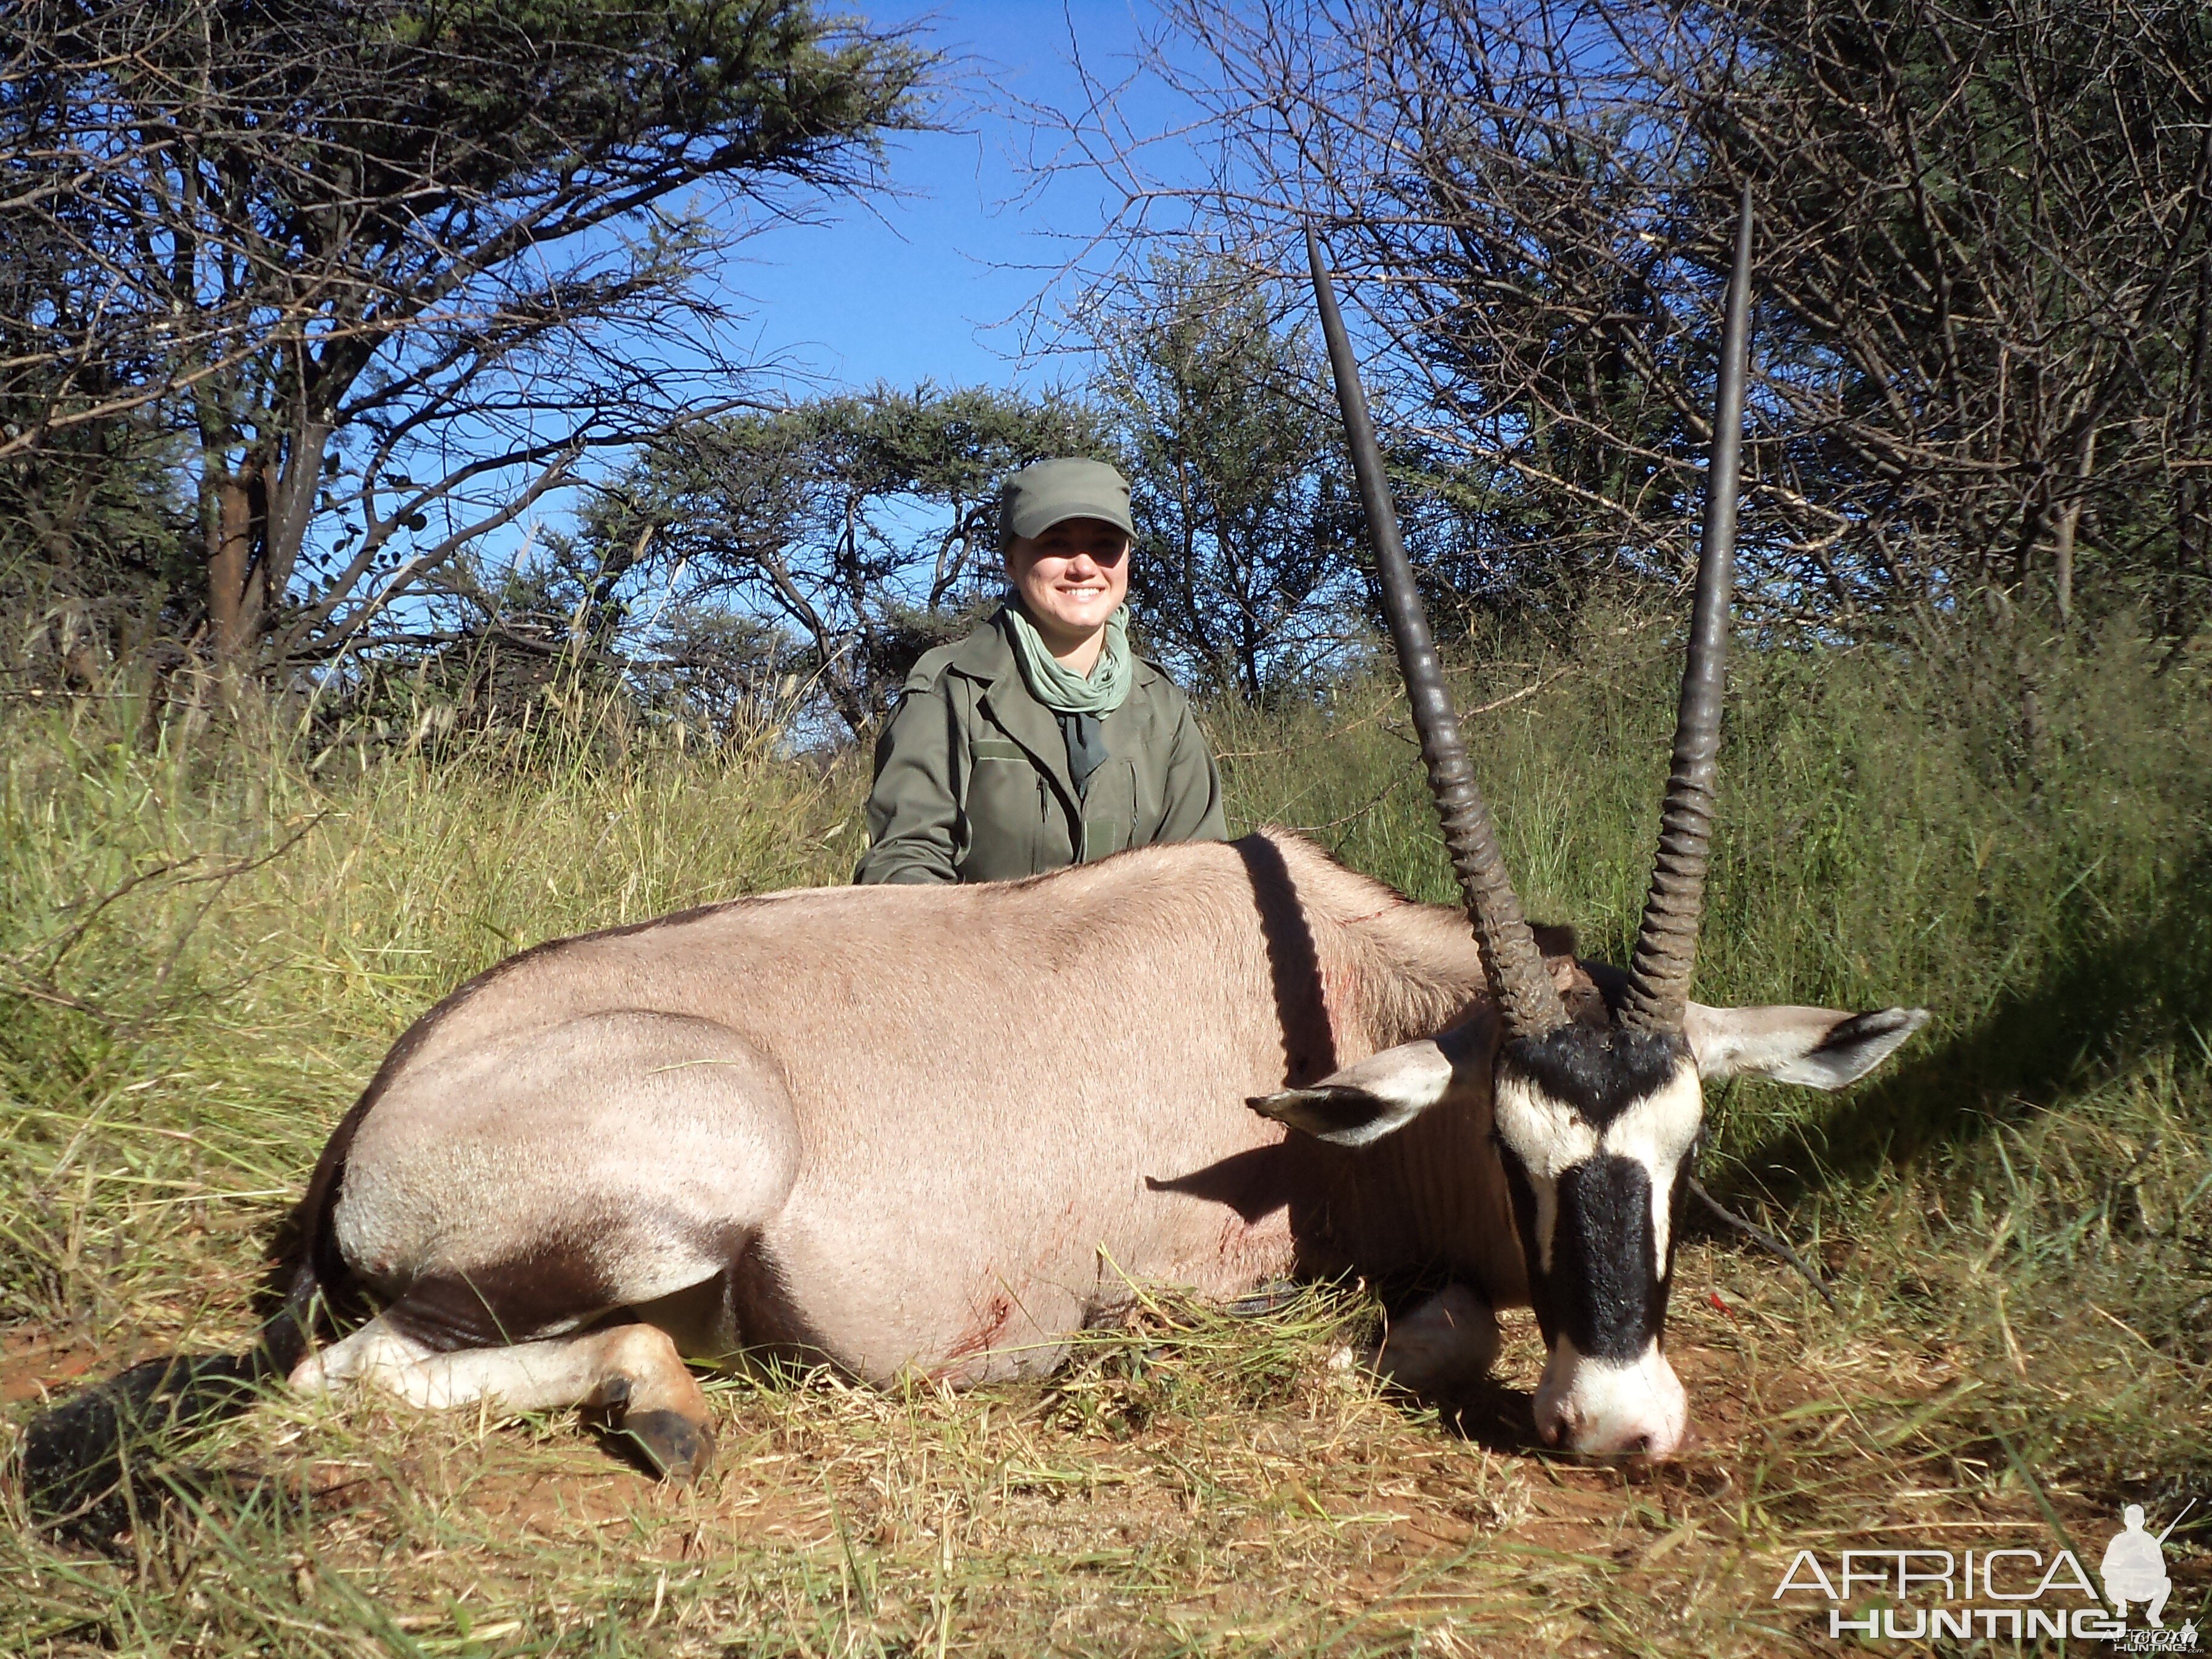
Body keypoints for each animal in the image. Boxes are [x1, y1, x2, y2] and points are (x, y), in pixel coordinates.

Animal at [21, 195, 1920, 1530]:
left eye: (1680, 1142)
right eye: (1519, 1154)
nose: (1618, 1422)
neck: (1341, 1000)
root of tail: (379, 1107)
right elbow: (1424, 1326)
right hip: (685, 1175)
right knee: (351, 1374)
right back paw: (663, 1401)